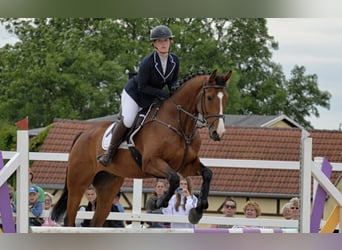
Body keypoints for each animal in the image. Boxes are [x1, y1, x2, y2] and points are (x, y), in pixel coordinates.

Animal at [51, 69, 232, 228]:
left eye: (226, 99)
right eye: (209, 97)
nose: (218, 132)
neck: (179, 124)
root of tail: (83, 134)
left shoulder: (187, 165)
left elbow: (207, 174)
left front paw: (198, 210)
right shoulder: (151, 163)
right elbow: (173, 179)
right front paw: (160, 202)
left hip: (108, 186)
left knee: (96, 221)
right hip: (78, 183)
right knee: (69, 217)